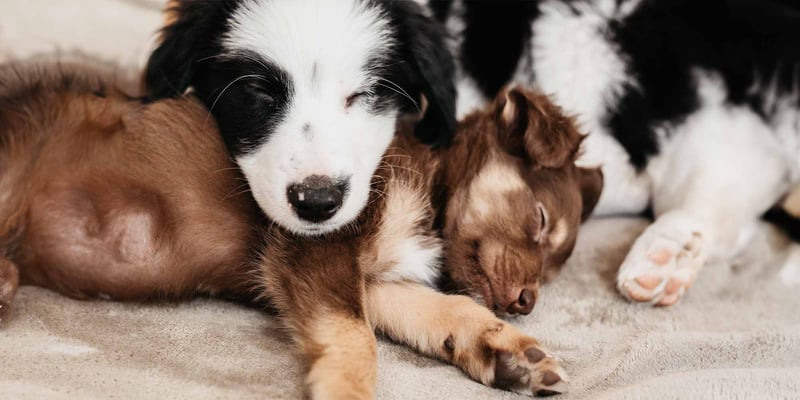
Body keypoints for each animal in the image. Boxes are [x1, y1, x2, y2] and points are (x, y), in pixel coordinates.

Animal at [0, 62, 600, 396]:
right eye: (540, 220)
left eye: (554, 265)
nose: (526, 302)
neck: (431, 187)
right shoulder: (314, 250)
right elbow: (357, 341)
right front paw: (345, 392)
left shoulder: (369, 281)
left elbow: (443, 310)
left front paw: (507, 353)